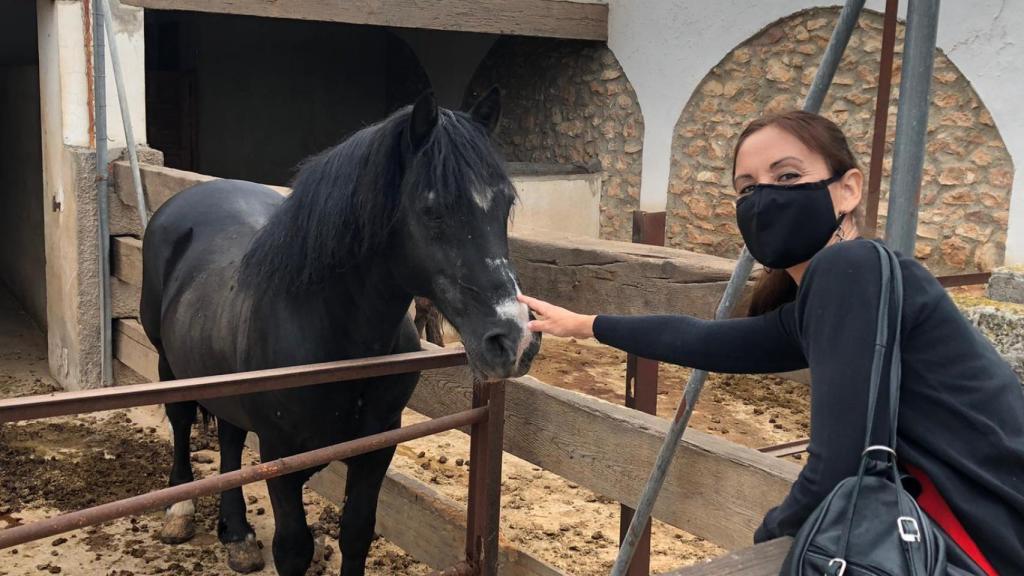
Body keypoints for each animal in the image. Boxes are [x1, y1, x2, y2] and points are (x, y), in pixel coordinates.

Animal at [140, 89, 540, 573]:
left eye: (505, 205)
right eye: (432, 210)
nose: (514, 340)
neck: (334, 339)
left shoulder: (376, 447)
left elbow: (356, 532)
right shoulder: (280, 456)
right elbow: (294, 548)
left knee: (231, 440)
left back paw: (237, 533)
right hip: (169, 362)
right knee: (181, 421)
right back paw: (179, 512)